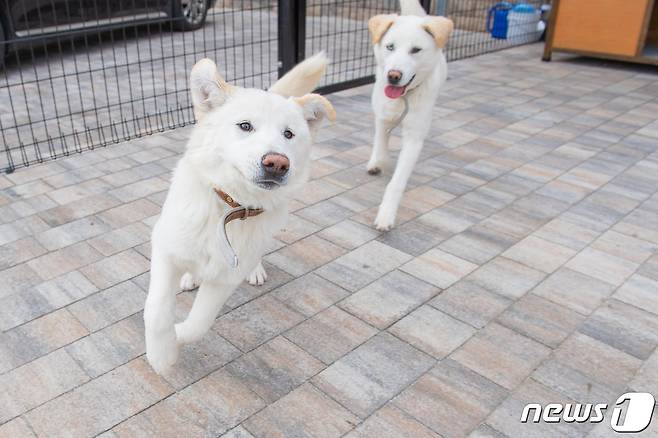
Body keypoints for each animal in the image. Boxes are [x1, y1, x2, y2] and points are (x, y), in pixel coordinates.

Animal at [145, 53, 336, 374]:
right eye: (245, 126)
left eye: (289, 134)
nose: (277, 163)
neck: (229, 207)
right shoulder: (165, 248)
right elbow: (157, 309)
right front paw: (162, 355)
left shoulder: (226, 277)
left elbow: (199, 323)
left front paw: (177, 336)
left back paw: (254, 270)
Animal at [364, 0, 452, 231]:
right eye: (390, 47)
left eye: (416, 50)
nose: (393, 76)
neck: (403, 97)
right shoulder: (383, 114)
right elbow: (381, 139)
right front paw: (379, 161)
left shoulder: (414, 138)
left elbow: (397, 182)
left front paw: (386, 215)